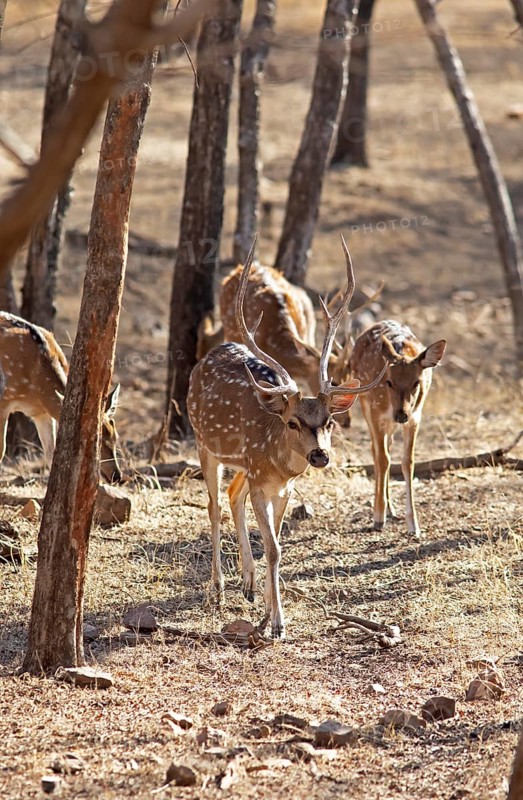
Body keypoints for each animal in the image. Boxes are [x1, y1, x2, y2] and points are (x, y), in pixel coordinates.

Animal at [0, 312, 122, 483]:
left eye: (115, 437)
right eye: (96, 442)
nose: (117, 475)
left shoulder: (41, 413)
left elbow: (51, 452)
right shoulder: (4, 399)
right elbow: (2, 449)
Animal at [188, 236, 387, 638]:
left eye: (328, 420)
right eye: (292, 422)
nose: (320, 455)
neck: (277, 460)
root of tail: (202, 363)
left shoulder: (281, 487)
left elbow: (274, 544)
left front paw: (268, 611)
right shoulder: (261, 478)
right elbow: (274, 547)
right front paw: (277, 623)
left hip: (241, 465)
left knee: (233, 496)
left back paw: (246, 585)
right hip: (205, 445)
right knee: (214, 506)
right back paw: (217, 589)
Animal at [349, 320, 446, 538]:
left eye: (416, 382)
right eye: (389, 382)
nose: (401, 414)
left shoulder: (415, 417)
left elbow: (407, 462)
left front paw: (414, 525)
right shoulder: (376, 414)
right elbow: (382, 459)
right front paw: (378, 518)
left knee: (388, 448)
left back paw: (391, 509)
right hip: (365, 405)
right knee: (376, 452)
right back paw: (384, 509)